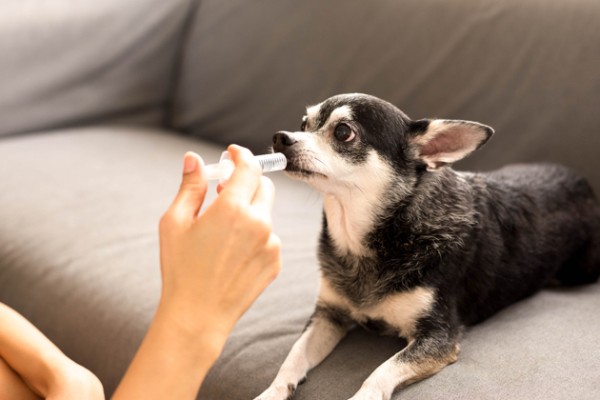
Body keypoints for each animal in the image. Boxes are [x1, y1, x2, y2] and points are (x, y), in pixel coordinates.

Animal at [254, 94, 600, 400]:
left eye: (343, 132)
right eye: (304, 123)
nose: (281, 137)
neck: (368, 241)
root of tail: (585, 184)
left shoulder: (437, 337)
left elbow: (380, 371)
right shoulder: (329, 315)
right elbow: (293, 357)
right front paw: (271, 393)